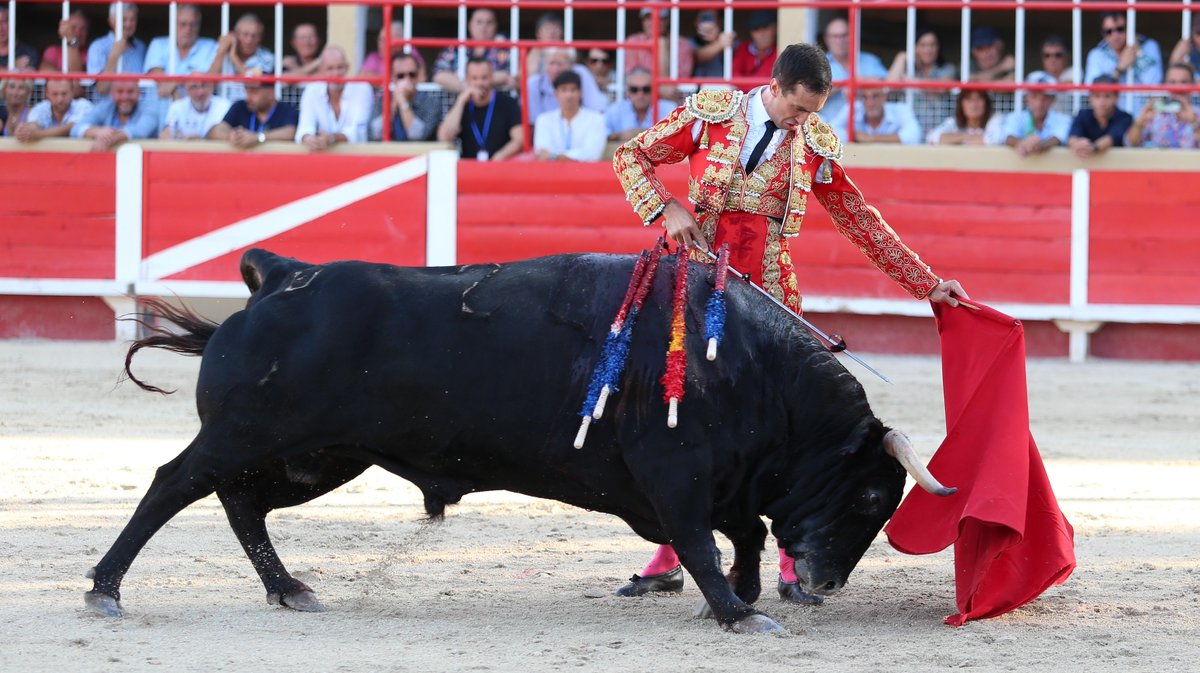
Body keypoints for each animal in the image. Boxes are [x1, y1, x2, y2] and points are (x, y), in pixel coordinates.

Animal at [87, 249, 945, 633]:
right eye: (872, 491)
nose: (828, 581)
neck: (749, 366)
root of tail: (279, 275)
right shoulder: (676, 474)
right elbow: (706, 543)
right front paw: (737, 612)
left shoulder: (720, 480)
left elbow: (744, 536)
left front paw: (743, 597)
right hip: (247, 433)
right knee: (174, 483)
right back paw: (105, 588)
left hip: (320, 456)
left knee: (243, 504)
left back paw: (288, 586)